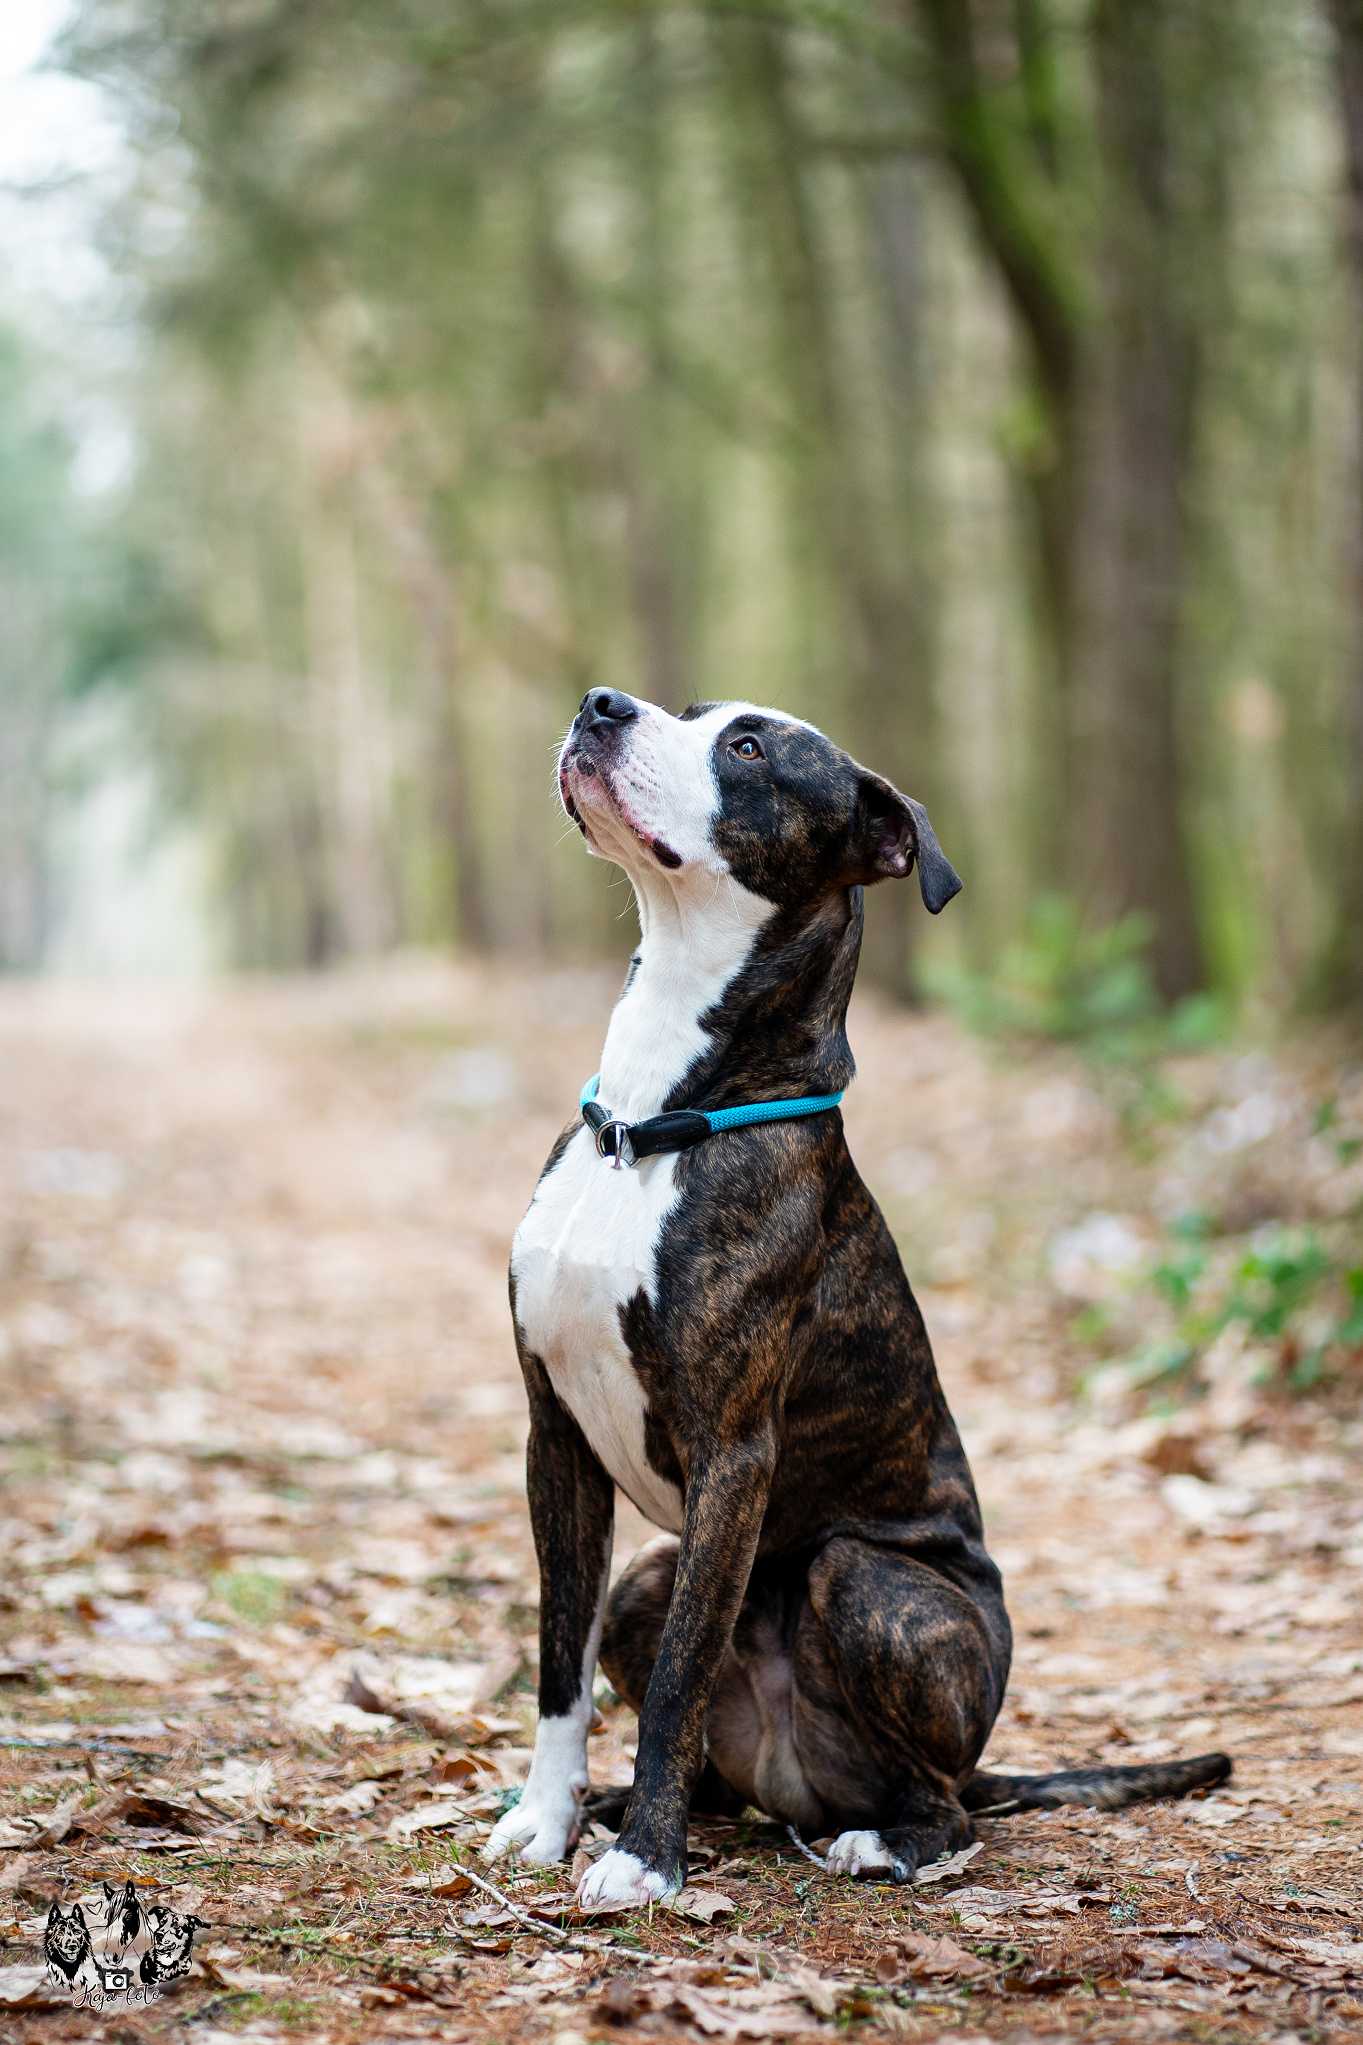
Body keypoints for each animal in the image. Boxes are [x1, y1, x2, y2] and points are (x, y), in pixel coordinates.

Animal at [486, 691, 1230, 1906]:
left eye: (747, 748)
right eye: (686, 711)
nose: (601, 705)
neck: (648, 1125)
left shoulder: (734, 1454)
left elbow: (680, 1680)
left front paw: (646, 1861)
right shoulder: (555, 1436)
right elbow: (561, 1661)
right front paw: (547, 1819)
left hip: (870, 1583)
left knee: (939, 1799)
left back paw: (879, 1840)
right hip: (649, 1578)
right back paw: (631, 1810)